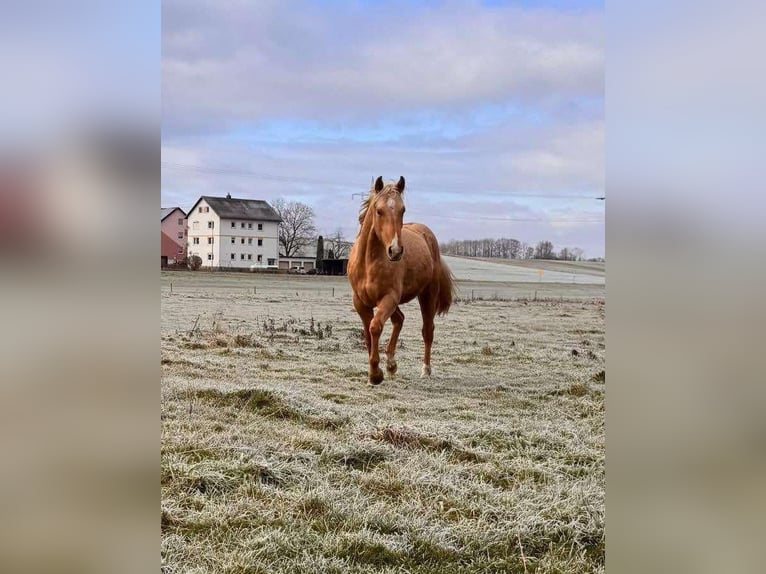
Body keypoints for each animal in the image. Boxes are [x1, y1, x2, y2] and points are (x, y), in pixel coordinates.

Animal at [348, 176, 456, 388]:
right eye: (379, 210)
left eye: (402, 210)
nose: (395, 250)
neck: (368, 262)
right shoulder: (361, 303)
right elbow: (368, 335)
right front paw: (377, 372)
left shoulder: (388, 298)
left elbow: (375, 327)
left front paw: (376, 374)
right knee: (399, 319)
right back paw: (391, 365)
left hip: (427, 296)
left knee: (427, 330)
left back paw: (425, 369)